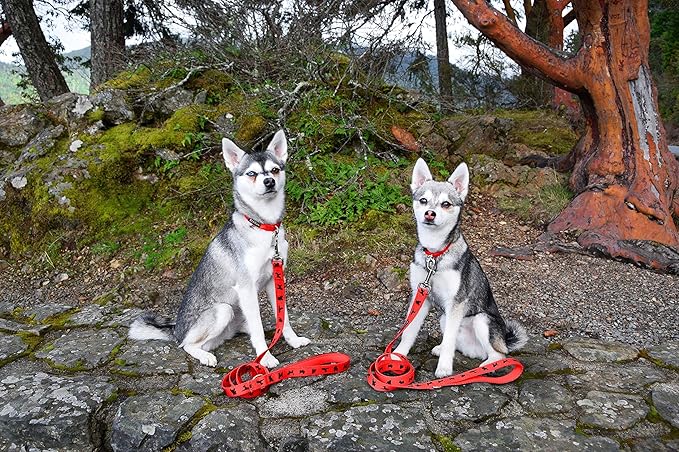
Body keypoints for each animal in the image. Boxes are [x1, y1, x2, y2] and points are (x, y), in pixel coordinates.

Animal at [129, 130, 312, 368]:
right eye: (252, 173)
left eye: (274, 170)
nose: (269, 181)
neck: (263, 226)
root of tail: (176, 330)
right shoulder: (246, 287)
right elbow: (259, 329)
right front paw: (265, 358)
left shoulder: (274, 279)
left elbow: (285, 318)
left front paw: (293, 340)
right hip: (223, 310)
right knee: (187, 345)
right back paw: (205, 355)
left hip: (237, 311)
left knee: (247, 327)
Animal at [394, 159, 532, 378]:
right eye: (423, 200)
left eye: (446, 204)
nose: (430, 214)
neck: (435, 255)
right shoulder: (420, 295)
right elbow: (409, 331)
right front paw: (398, 356)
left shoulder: (456, 302)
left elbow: (449, 340)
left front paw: (444, 368)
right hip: (445, 317)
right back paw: (443, 348)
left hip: (481, 320)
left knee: (499, 354)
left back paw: (487, 365)